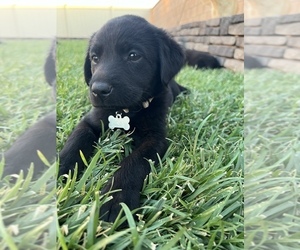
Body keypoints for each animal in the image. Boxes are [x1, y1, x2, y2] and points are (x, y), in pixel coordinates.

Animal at [57, 14, 186, 222]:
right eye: (94, 58)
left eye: (133, 55)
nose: (98, 90)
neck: (126, 111)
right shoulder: (89, 121)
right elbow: (76, 141)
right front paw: (58, 169)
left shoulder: (156, 137)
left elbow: (135, 160)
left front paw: (116, 198)